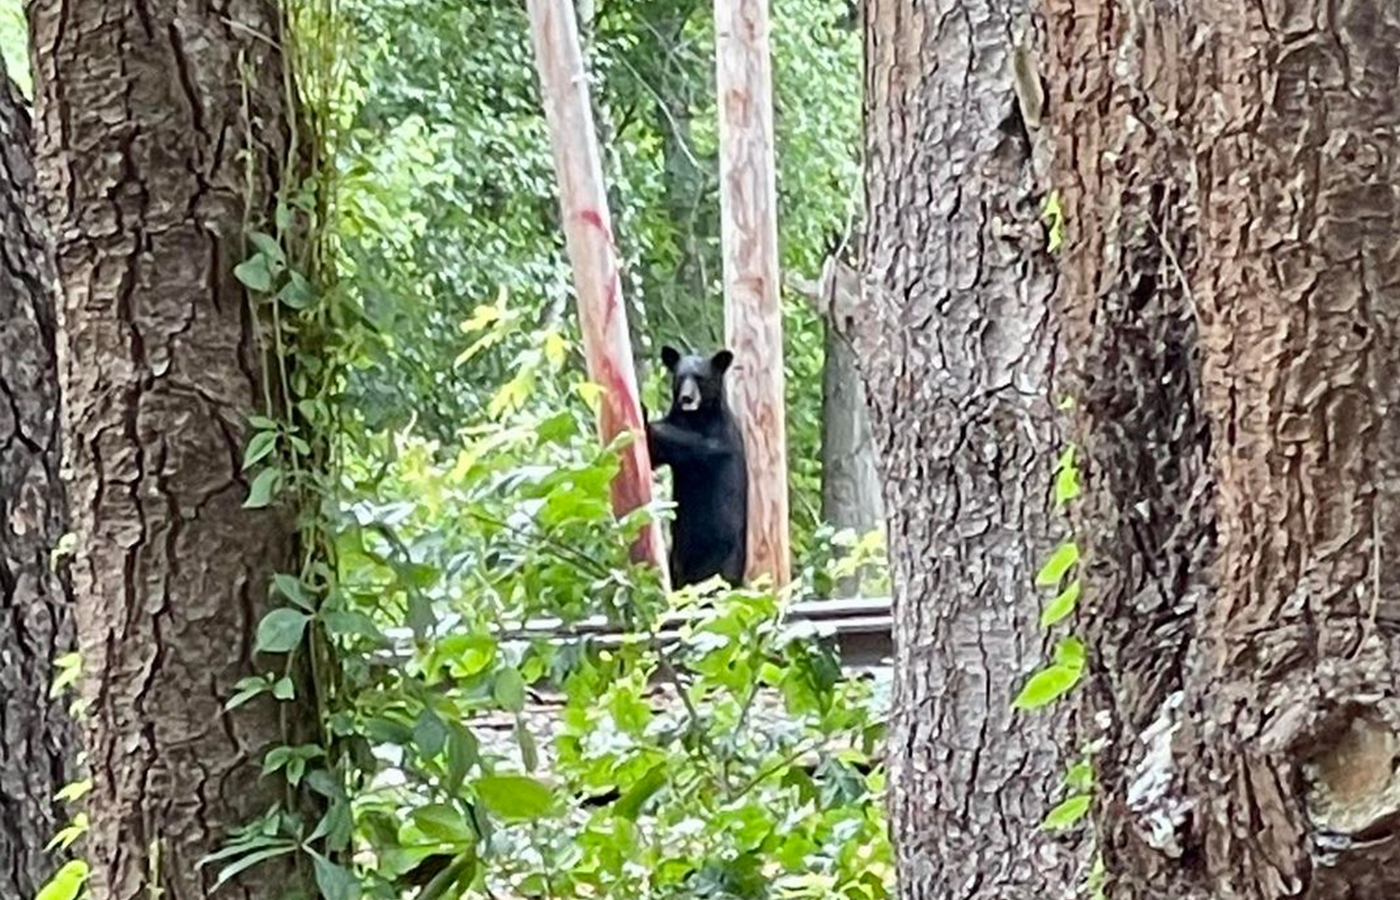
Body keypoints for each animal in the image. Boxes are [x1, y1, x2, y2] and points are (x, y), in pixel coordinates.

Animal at [646, 341, 750, 587]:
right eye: (680, 377)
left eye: (700, 377)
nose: (686, 398)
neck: (695, 418)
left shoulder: (717, 439)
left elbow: (685, 445)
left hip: (723, 559)